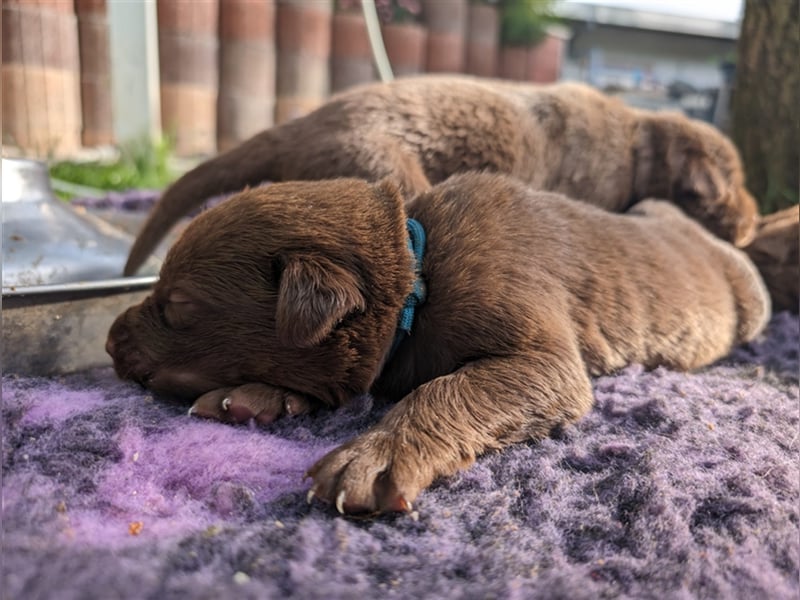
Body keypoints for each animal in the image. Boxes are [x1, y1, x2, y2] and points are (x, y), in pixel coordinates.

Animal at [106, 172, 768, 516]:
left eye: (177, 307)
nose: (110, 341)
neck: (416, 272)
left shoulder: (541, 357)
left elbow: (447, 388)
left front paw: (373, 456)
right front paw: (253, 394)